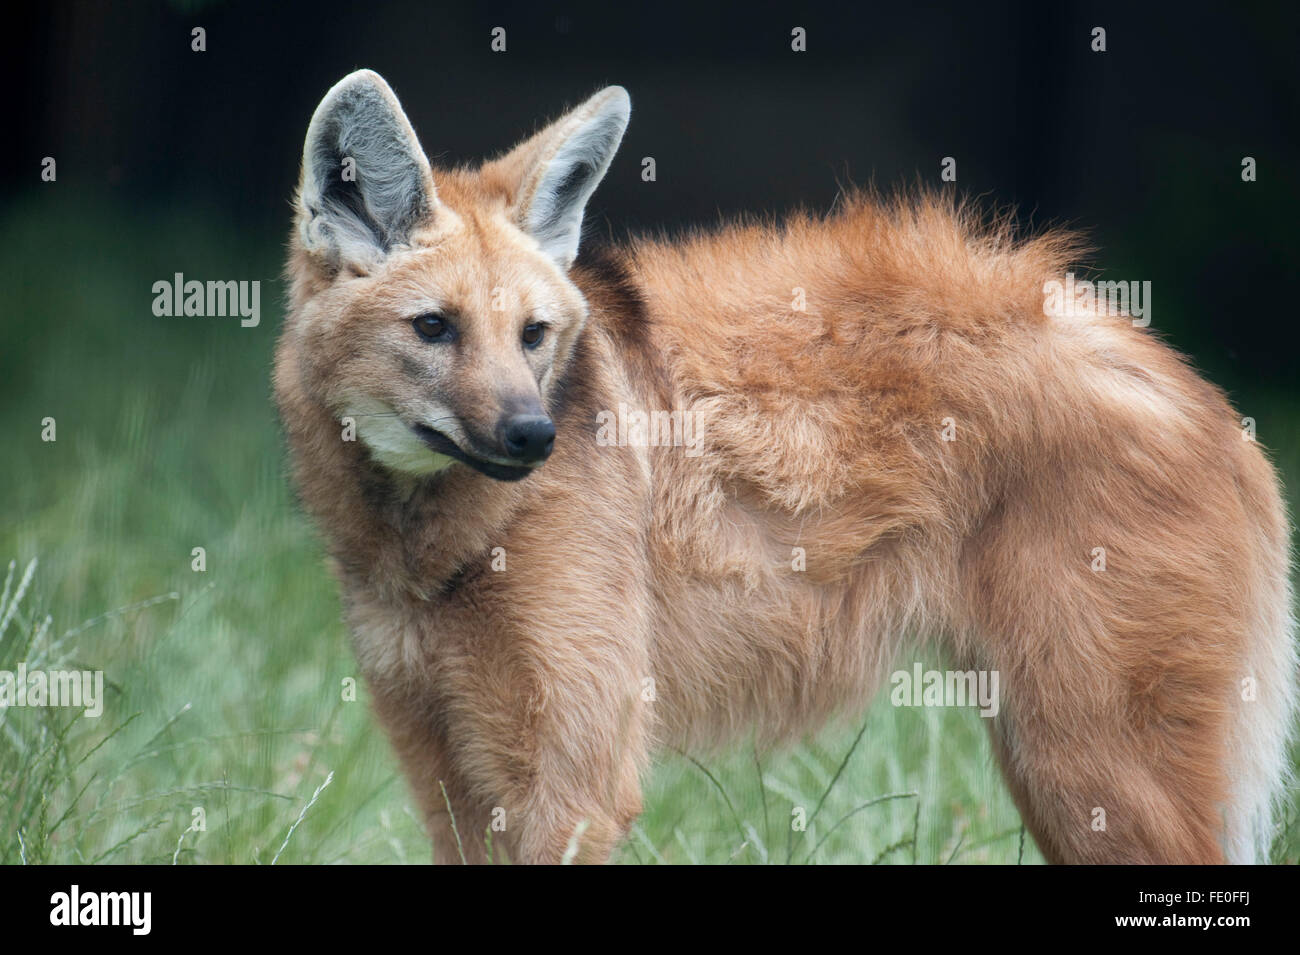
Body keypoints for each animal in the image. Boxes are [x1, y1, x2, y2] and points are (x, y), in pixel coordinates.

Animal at [271, 69, 1289, 867]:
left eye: (533, 335)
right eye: (433, 328)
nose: (532, 435)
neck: (421, 543)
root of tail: (1204, 395)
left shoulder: (573, 777)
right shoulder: (445, 759)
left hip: (1084, 759)